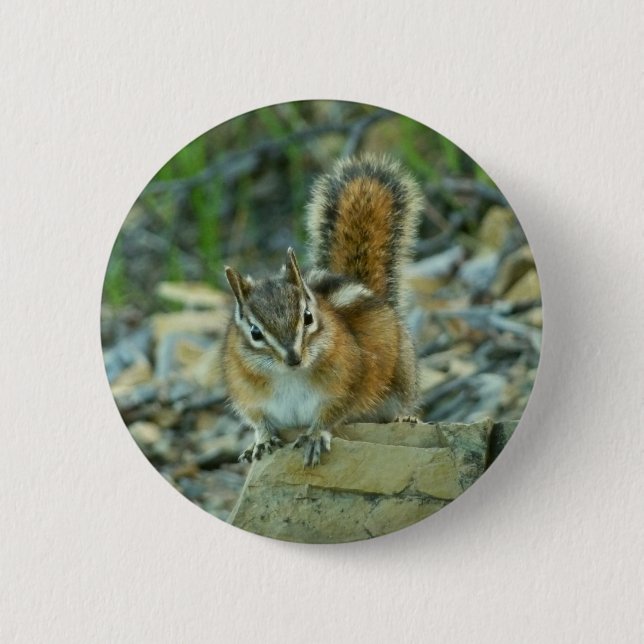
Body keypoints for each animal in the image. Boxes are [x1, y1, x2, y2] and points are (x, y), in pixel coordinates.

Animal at [222, 154, 424, 467]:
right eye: (255, 332)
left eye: (307, 317)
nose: (293, 358)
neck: (289, 377)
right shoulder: (248, 395)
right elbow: (258, 421)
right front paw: (262, 440)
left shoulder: (346, 384)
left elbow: (331, 414)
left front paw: (315, 435)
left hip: (402, 377)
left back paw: (405, 418)